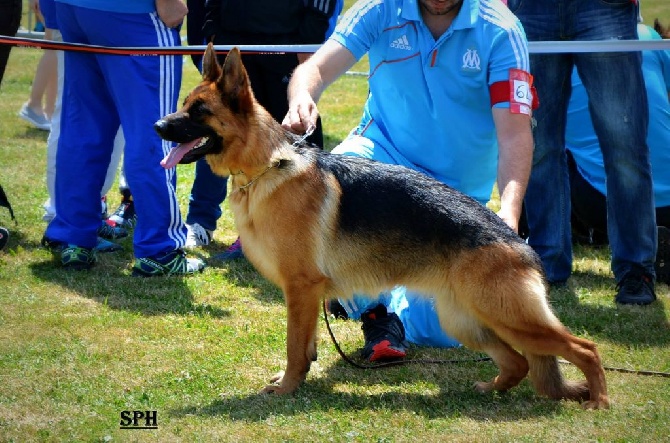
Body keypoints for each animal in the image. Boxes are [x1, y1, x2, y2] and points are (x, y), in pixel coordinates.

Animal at [155, 44, 612, 410]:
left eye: (199, 112)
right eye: (184, 104)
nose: (158, 126)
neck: (267, 167)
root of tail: (518, 243)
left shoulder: (300, 290)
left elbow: (293, 348)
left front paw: (286, 389)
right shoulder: (307, 297)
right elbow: (305, 347)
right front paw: (295, 382)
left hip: (508, 317)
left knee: (585, 349)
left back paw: (599, 402)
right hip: (465, 320)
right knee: (518, 361)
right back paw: (491, 389)